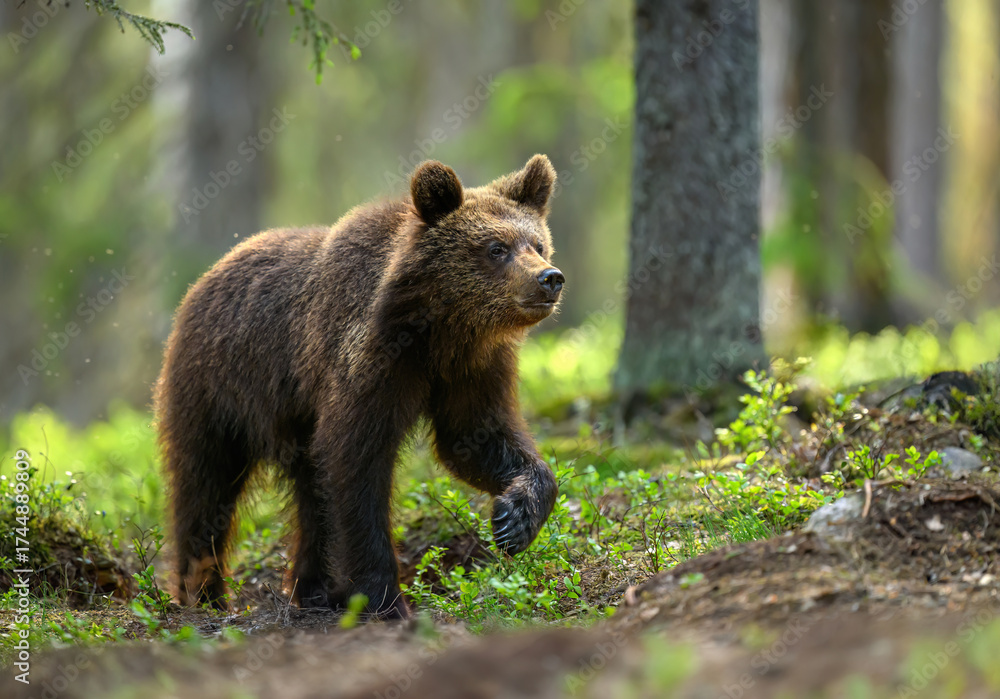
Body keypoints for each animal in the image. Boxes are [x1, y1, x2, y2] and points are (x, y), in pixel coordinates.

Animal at [154, 155, 563, 619]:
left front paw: (514, 520)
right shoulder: (370, 363)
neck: (439, 331)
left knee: (309, 494)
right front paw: (384, 598)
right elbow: (356, 466)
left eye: (537, 244)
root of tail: (204, 279)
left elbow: (476, 438)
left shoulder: (473, 370)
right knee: (205, 485)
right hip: (218, 388)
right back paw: (202, 594)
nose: (550, 278)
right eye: (496, 248)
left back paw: (312, 589)